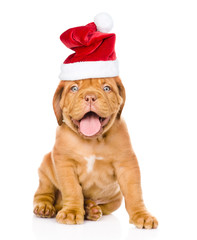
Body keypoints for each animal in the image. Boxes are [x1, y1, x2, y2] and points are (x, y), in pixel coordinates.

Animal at [33, 77, 158, 229]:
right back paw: (44, 207)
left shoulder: (126, 164)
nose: (90, 97)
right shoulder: (65, 164)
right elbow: (72, 189)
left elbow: (134, 192)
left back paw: (90, 210)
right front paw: (71, 212)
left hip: (116, 200)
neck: (92, 141)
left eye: (106, 88)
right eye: (74, 88)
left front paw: (142, 215)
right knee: (43, 193)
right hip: (45, 169)